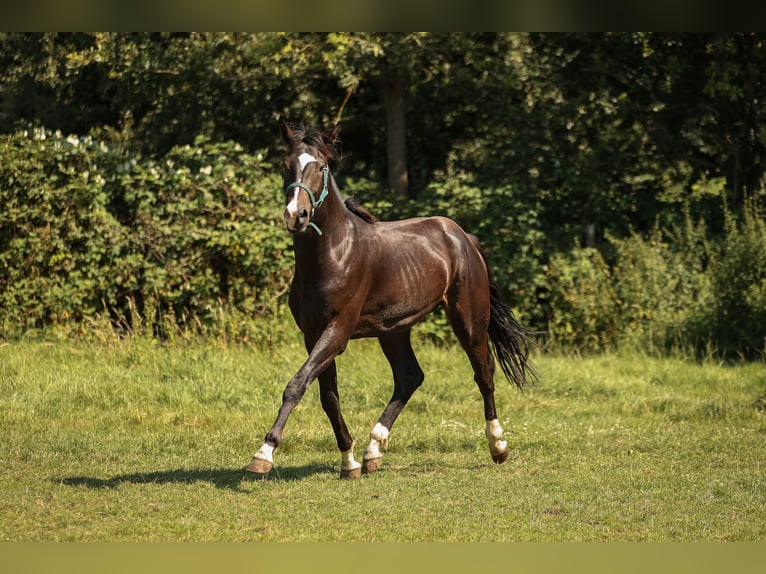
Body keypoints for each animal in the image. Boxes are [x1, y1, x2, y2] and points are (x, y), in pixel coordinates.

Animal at [249, 115, 536, 480]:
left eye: (321, 166)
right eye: (285, 165)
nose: (295, 215)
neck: (332, 256)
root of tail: (463, 237)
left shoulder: (337, 331)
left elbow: (297, 385)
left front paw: (264, 453)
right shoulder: (312, 334)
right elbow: (329, 397)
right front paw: (350, 462)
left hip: (469, 319)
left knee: (483, 373)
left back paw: (498, 446)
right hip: (394, 329)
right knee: (410, 376)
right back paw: (374, 450)